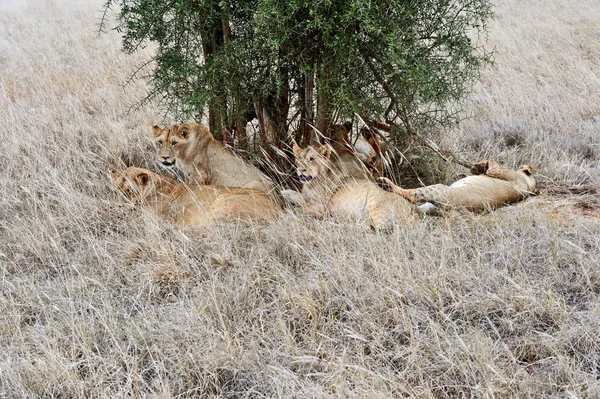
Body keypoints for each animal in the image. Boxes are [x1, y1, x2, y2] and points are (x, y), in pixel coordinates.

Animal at [109, 166, 282, 228]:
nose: (117, 206)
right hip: (255, 182)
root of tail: (280, 210)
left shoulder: (149, 218)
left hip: (223, 199)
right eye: (116, 191)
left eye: (129, 191)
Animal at [150, 122, 282, 205]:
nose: (165, 158)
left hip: (253, 184)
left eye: (174, 143)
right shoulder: (189, 175)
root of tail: (281, 201)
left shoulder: (200, 175)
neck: (182, 154)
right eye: (160, 142)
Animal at [378, 160, 536, 216]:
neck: (528, 185)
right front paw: (478, 167)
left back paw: (385, 182)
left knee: (412, 196)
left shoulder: (505, 173)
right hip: (431, 206)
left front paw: (482, 165)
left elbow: (494, 162)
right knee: (416, 209)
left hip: (439, 189)